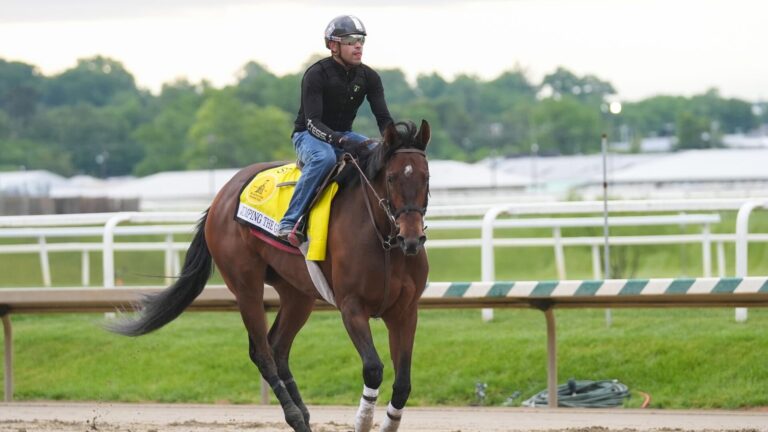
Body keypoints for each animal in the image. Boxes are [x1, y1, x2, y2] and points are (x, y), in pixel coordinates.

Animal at [111, 120, 431, 432]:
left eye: (426, 178)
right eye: (391, 178)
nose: (411, 238)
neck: (384, 242)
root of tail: (221, 196)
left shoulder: (405, 311)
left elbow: (403, 382)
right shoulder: (352, 307)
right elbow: (373, 368)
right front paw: (363, 420)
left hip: (297, 294)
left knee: (278, 348)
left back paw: (303, 415)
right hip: (246, 286)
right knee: (262, 353)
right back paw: (295, 416)